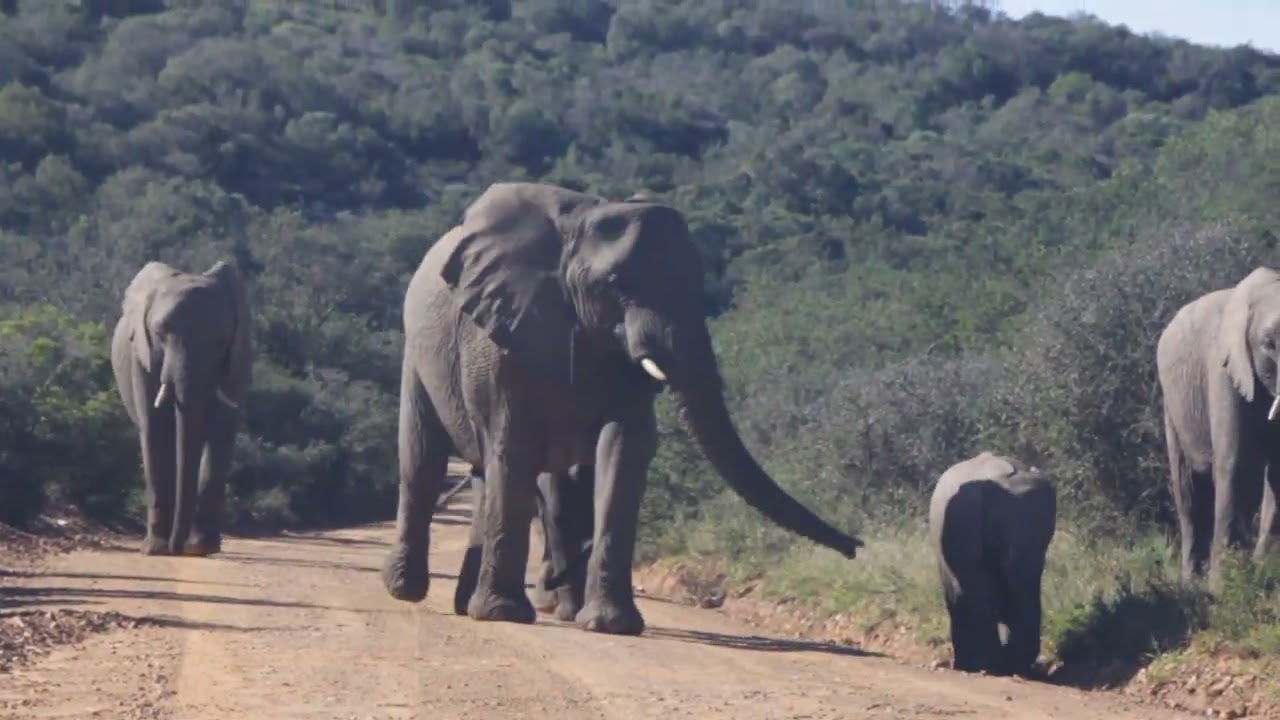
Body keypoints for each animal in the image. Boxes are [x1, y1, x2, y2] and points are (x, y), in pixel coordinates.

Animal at [110, 260, 252, 557]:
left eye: (221, 342)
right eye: (160, 334)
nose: (177, 549)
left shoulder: (238, 360)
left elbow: (221, 434)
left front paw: (199, 548)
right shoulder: (141, 358)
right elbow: (154, 431)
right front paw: (155, 549)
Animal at [381, 181, 863, 635]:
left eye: (698, 285)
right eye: (616, 286)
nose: (855, 547)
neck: (581, 220)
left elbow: (624, 450)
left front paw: (609, 624)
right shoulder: (501, 336)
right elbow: (513, 446)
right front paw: (505, 616)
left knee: (487, 475)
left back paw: (476, 603)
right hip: (418, 351)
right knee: (423, 459)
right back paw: (406, 589)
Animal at [1156, 266, 1280, 585]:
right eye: (1269, 344)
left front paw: (1264, 570)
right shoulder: (1224, 369)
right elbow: (1236, 465)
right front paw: (1224, 584)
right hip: (1171, 406)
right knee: (1188, 488)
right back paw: (1191, 582)